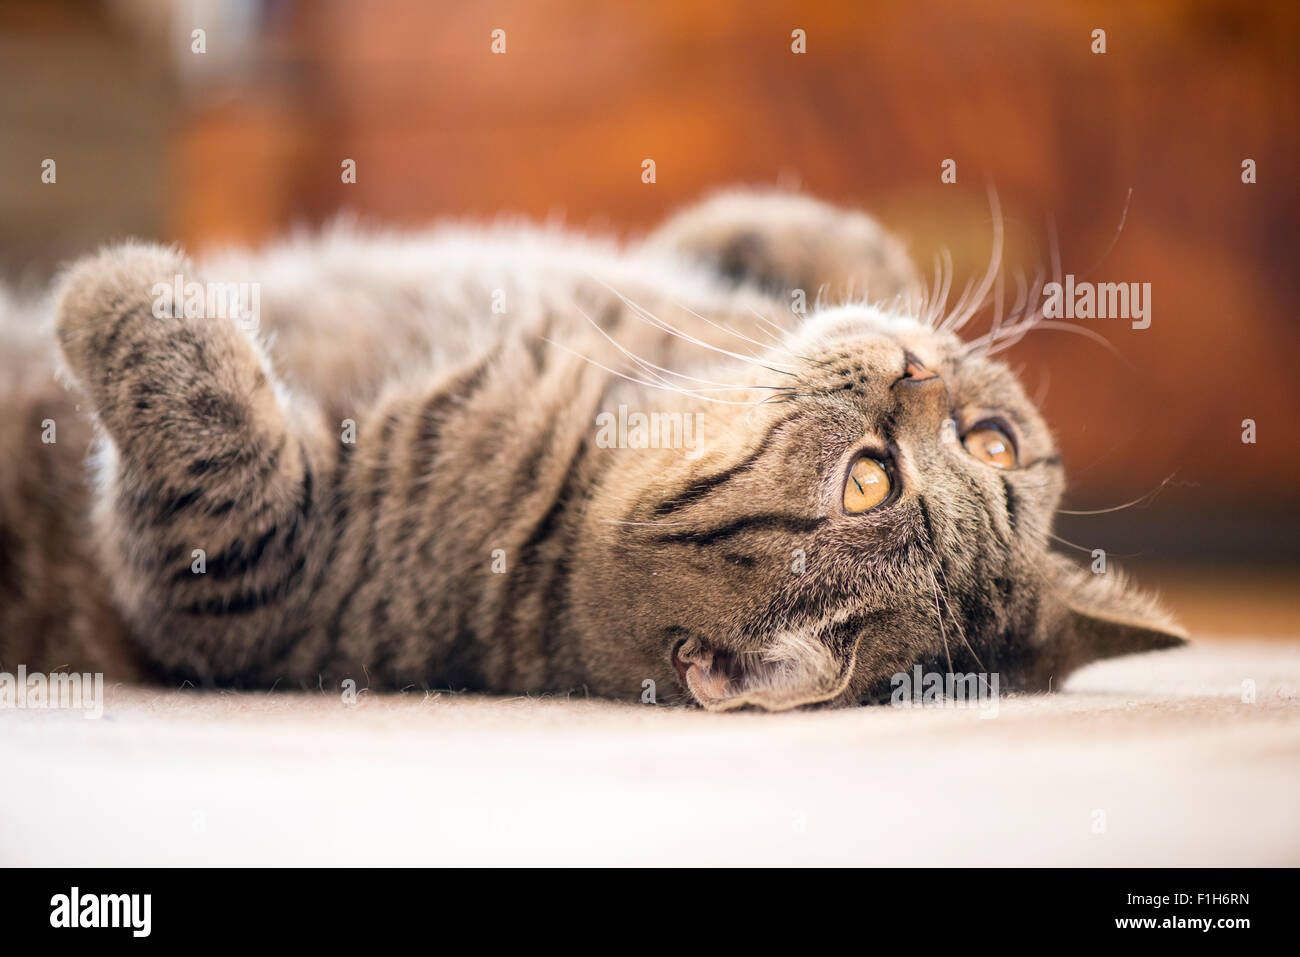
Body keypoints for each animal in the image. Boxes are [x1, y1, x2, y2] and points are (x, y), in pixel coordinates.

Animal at [0, 188, 1185, 712]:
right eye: (993, 442)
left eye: (867, 484)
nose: (919, 372)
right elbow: (842, 248)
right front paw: (766, 234)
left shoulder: (234, 566)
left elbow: (204, 409)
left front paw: (118, 283)